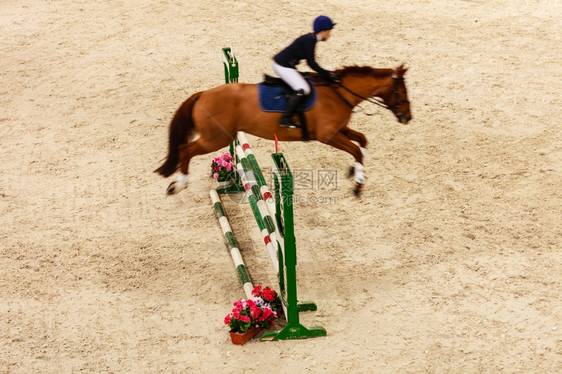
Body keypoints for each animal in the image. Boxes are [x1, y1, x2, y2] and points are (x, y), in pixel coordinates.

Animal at [155, 65, 410, 196]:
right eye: (402, 92)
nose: (408, 117)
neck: (339, 94)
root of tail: (202, 95)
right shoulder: (329, 136)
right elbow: (356, 149)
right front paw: (358, 183)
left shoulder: (341, 129)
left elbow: (362, 142)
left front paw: (355, 171)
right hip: (214, 139)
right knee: (185, 149)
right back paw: (179, 184)